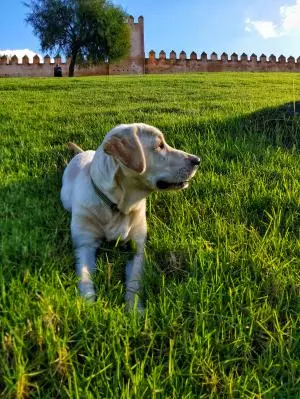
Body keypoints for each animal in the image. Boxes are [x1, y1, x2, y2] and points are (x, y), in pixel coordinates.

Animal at [61, 123, 200, 310]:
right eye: (159, 146)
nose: (197, 160)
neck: (117, 206)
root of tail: (82, 153)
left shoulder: (138, 247)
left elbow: (135, 279)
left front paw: (134, 309)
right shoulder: (84, 245)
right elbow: (84, 276)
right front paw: (88, 306)